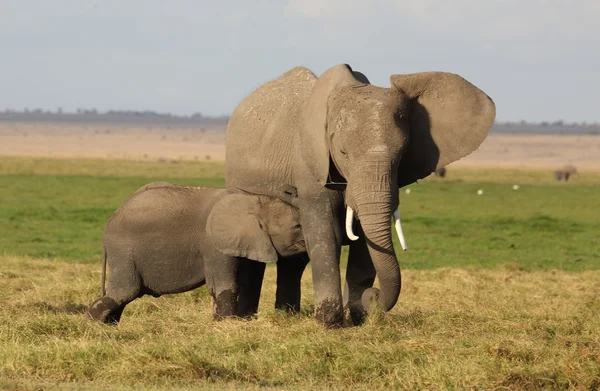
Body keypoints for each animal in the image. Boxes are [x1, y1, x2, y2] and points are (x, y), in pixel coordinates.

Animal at [85, 183, 304, 324]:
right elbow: (225, 285)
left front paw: (219, 323)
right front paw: (228, 325)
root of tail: (110, 220)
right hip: (123, 251)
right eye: (297, 226)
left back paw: (107, 327)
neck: (255, 199)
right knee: (125, 291)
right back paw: (92, 327)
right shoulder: (214, 244)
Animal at [225, 64, 496, 328]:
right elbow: (327, 235)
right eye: (343, 152)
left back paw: (287, 315)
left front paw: (357, 318)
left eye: (402, 154)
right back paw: (249, 316)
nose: (372, 296)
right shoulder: (309, 168)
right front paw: (329, 323)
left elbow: (366, 242)